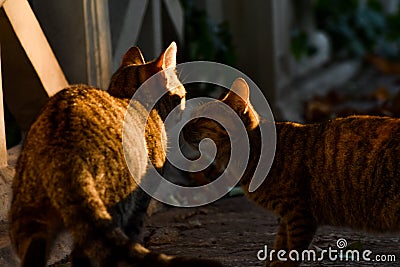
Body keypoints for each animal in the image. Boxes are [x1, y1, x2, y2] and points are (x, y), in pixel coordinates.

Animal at [184, 77, 400, 266]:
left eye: (200, 119)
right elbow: (279, 246)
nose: (182, 125)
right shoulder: (286, 217)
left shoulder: (300, 213)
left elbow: (291, 253)